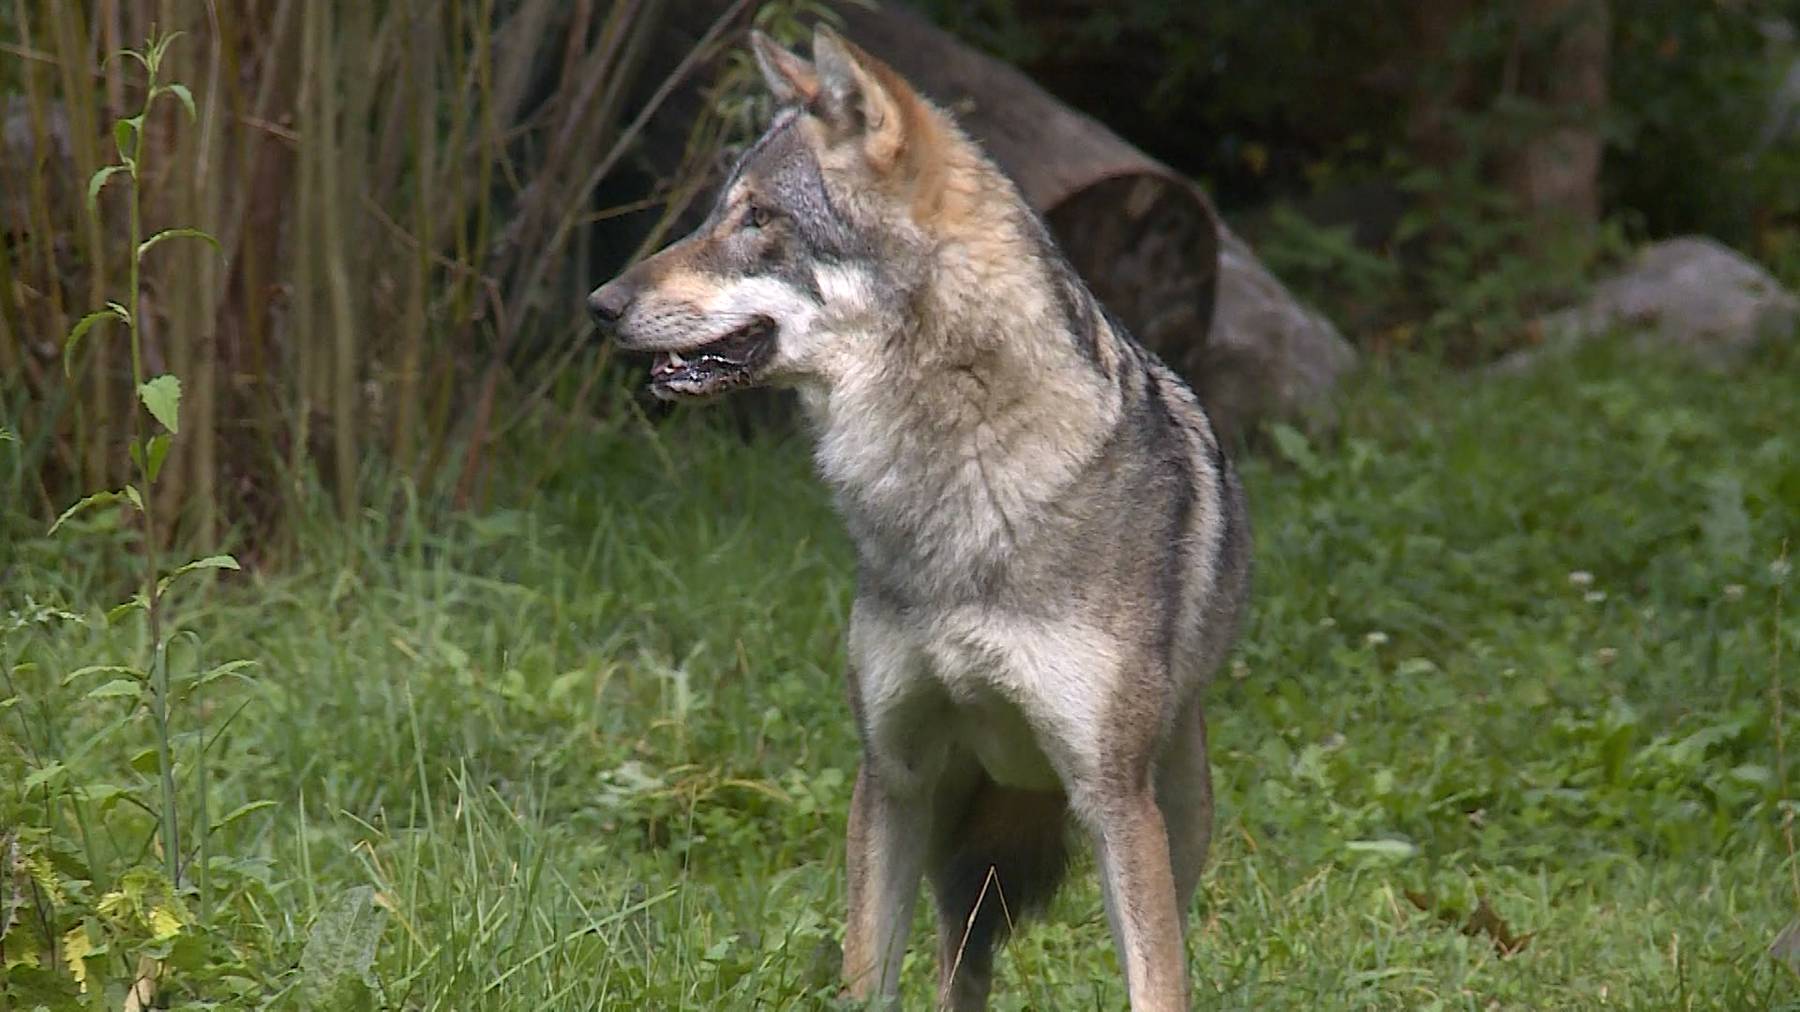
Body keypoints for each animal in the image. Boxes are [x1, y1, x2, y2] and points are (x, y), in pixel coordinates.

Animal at [590, 25, 1252, 1008]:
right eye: (715, 214)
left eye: (757, 219)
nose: (599, 305)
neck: (959, 475)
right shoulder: (891, 777)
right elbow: (866, 978)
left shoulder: (1114, 804)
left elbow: (1153, 985)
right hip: (964, 857)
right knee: (957, 969)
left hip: (1167, 817)